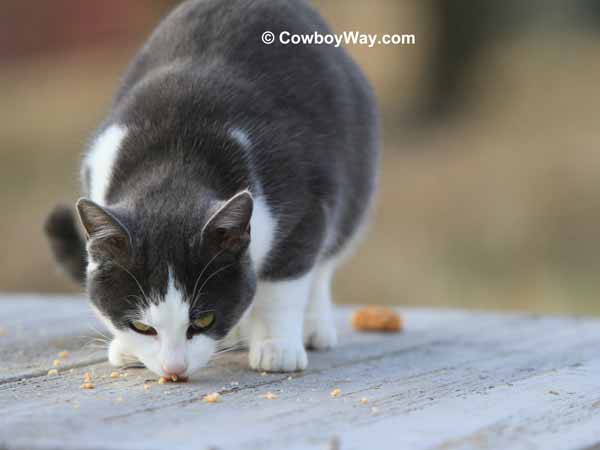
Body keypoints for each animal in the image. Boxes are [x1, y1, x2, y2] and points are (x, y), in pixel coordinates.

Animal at [44, 0, 380, 380]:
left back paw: (313, 327)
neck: (175, 156)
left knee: (325, 260)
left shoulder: (304, 203)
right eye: (142, 327)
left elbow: (283, 283)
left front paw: (276, 347)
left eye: (203, 320)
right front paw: (126, 347)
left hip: (355, 173)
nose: (174, 368)